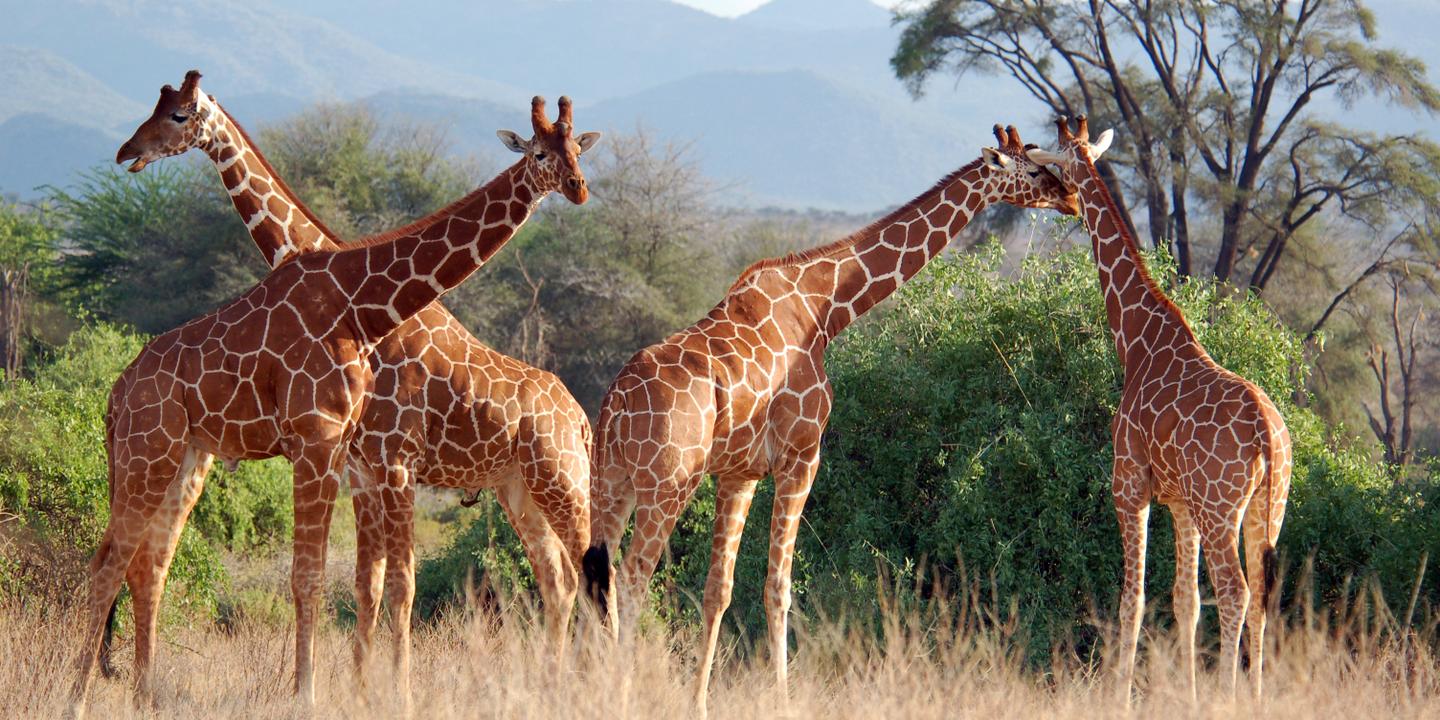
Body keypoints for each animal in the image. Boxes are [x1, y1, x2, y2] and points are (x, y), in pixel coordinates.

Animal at [73, 73, 597, 714]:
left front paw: (365, 692)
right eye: (540, 152)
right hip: (158, 455)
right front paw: (342, 692)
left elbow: (374, 583)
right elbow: (353, 581)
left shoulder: (373, 459)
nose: (577, 188)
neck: (363, 301)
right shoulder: (354, 457)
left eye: (176, 114)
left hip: (549, 482)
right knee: (117, 564)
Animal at [582, 126, 1080, 714]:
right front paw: (782, 700)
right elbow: (779, 587)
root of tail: (614, 404)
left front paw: (699, 704)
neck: (827, 307)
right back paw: (621, 695)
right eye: (1032, 169)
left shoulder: (739, 473)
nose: (1071, 197)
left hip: (611, 483)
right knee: (633, 578)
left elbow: (718, 590)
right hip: (667, 483)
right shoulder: (802, 455)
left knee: (598, 575)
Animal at [1025, 116, 1291, 700]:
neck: (1136, 337)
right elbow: (1184, 602)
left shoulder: (1130, 483)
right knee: (1262, 593)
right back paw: (1258, 695)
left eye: (1053, 162)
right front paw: (1185, 696)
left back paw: (1228, 698)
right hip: (1270, 504)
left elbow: (1134, 598)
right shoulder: (1180, 503)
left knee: (1236, 591)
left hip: (1221, 507)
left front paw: (1118, 696)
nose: (1067, 201)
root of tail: (1267, 433)